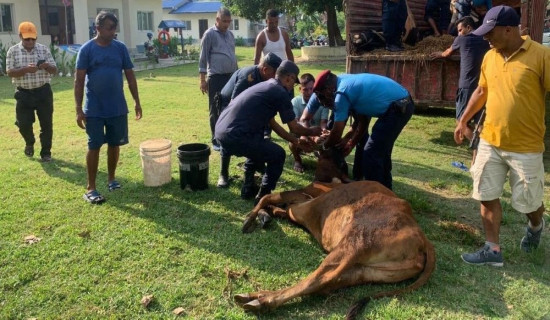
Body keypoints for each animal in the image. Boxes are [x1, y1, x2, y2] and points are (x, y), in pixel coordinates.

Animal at [235, 149, 438, 318]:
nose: (322, 145)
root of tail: (424, 240)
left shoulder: (302, 196)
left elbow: (267, 197)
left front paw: (250, 219)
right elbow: (273, 205)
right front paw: (263, 216)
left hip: (353, 245)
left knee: (318, 279)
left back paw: (261, 301)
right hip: (367, 271)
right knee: (328, 284)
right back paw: (256, 295)